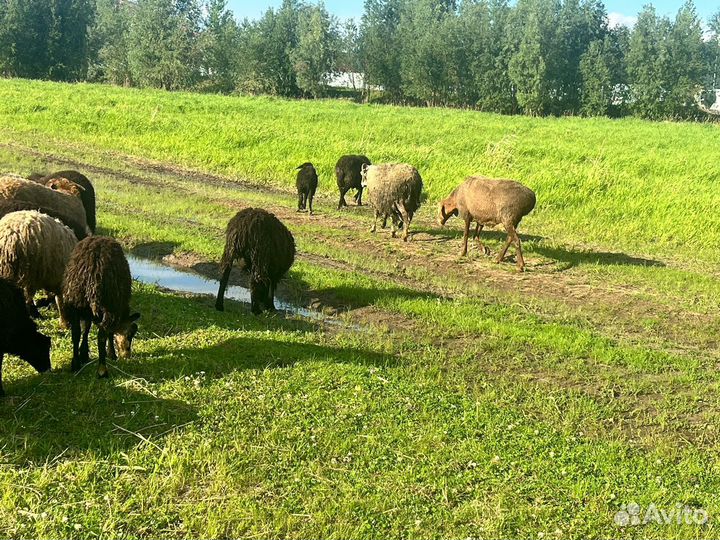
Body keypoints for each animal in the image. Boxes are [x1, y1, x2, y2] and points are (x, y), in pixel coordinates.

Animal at [61, 236, 140, 378]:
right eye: (130, 334)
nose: (127, 356)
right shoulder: (115, 309)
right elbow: (110, 333)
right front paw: (112, 354)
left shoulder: (86, 311)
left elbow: (86, 328)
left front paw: (84, 353)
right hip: (109, 306)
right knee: (101, 336)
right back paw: (102, 370)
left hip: (75, 302)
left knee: (75, 333)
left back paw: (75, 364)